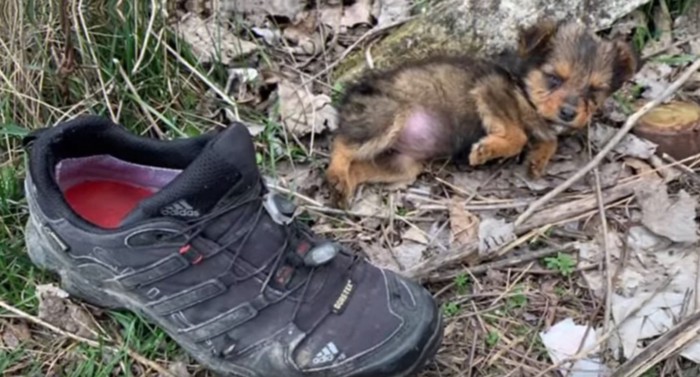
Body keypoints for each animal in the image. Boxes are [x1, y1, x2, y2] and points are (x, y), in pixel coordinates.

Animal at [326, 19, 636, 209]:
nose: (569, 113)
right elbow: (518, 135)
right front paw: (487, 150)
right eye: (554, 79)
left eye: (594, 91)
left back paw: (344, 185)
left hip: (401, 165)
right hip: (387, 117)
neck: (524, 83)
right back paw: (337, 174)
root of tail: (351, 94)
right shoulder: (491, 91)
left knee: (360, 165)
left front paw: (537, 161)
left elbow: (548, 138)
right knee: (342, 142)